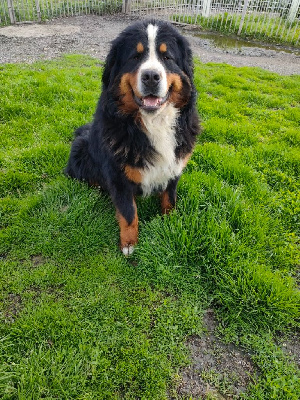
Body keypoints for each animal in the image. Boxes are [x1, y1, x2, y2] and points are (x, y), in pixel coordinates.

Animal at [67, 18, 200, 255]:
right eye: (135, 57)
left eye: (167, 57)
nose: (151, 76)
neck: (154, 122)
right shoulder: (118, 176)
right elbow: (129, 213)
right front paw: (129, 244)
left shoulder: (174, 166)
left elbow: (170, 198)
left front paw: (170, 223)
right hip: (80, 150)